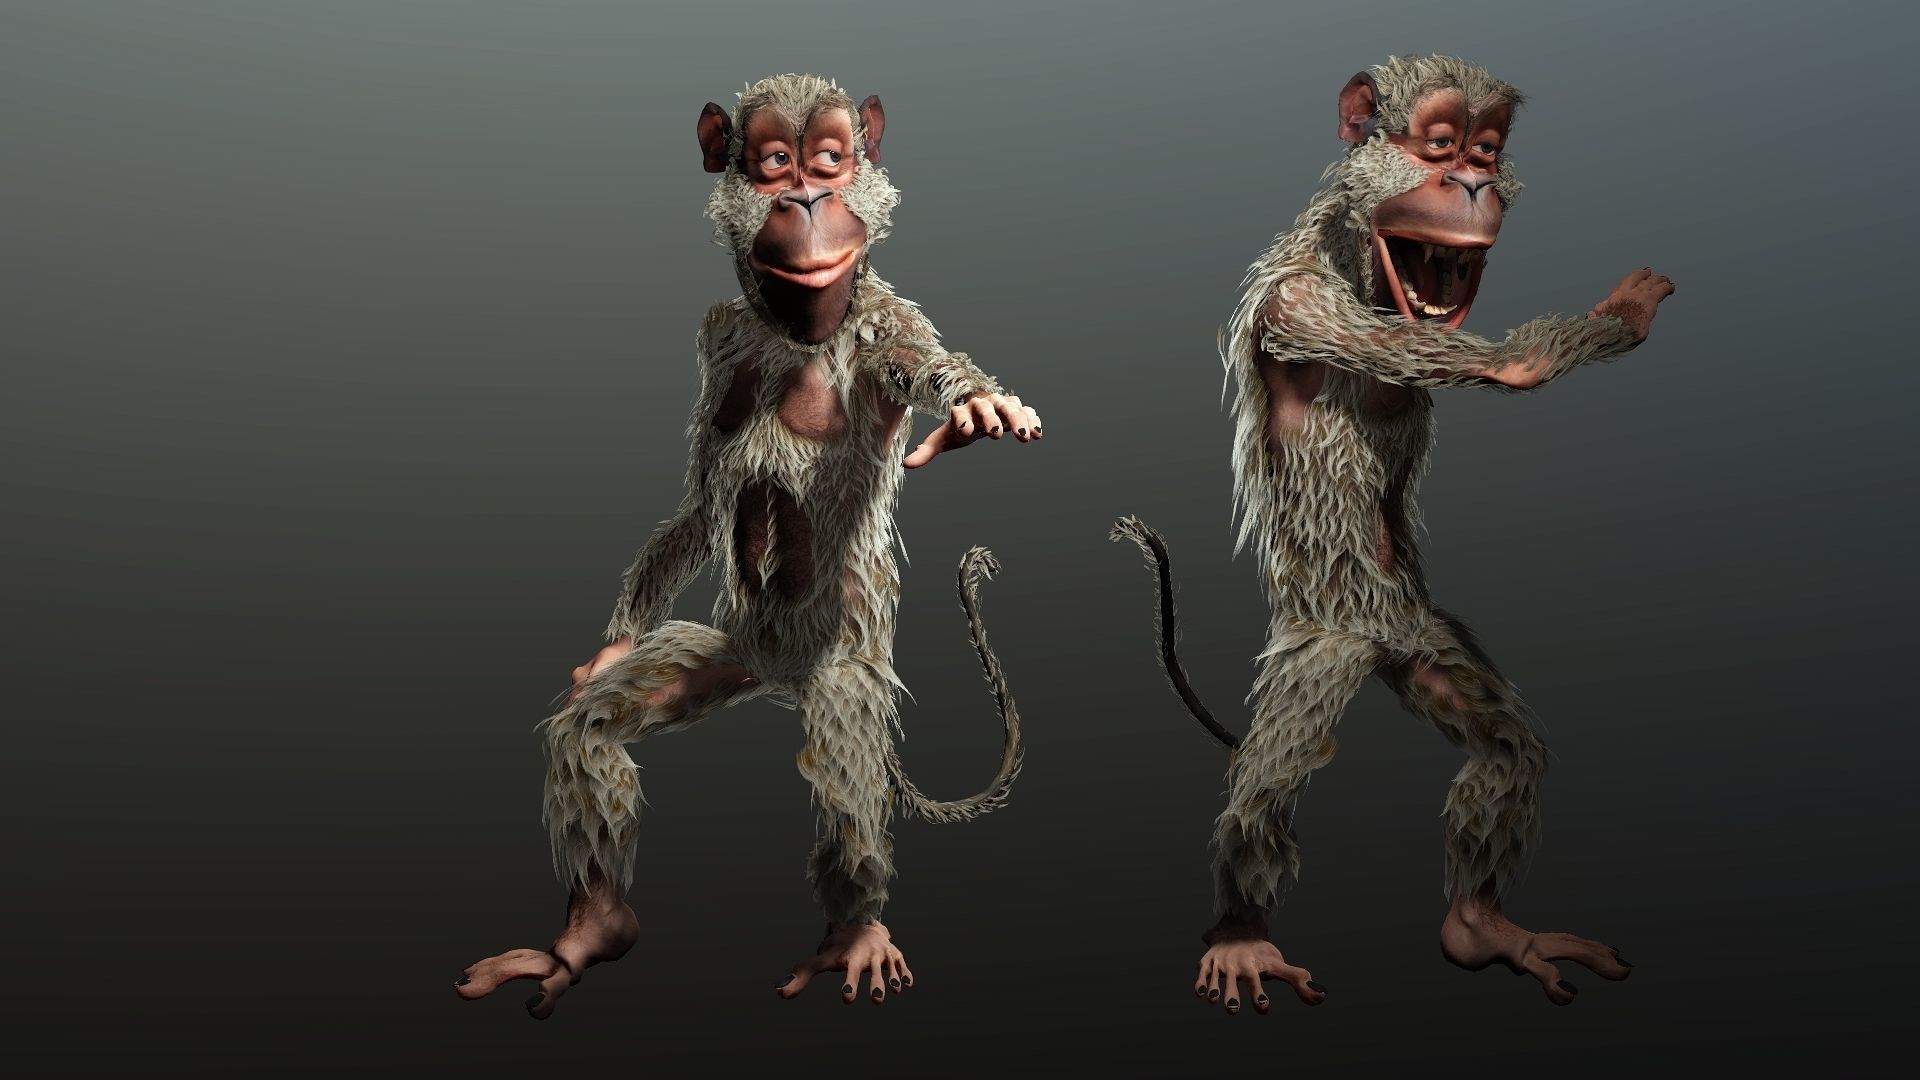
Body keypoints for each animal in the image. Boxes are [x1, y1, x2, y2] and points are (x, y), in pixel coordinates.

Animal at [457, 74, 1043, 1019]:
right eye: (773, 166)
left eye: (829, 161)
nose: (805, 200)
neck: (798, 331)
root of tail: (776, 675)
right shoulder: (718, 335)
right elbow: (701, 505)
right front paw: (610, 643)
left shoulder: (888, 330)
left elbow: (926, 359)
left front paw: (977, 403)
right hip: (720, 652)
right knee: (588, 731)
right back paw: (592, 929)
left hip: (841, 662)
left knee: (843, 734)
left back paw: (852, 931)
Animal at [1112, 55, 1673, 1014]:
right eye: (1438, 147)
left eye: (1487, 152)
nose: (1473, 182)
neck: (1347, 258)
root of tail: (1375, 634)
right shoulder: (1302, 306)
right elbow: (1512, 364)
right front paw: (1625, 314)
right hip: (1321, 646)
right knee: (1266, 784)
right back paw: (1241, 935)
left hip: (1423, 642)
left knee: (1504, 749)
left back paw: (1480, 927)